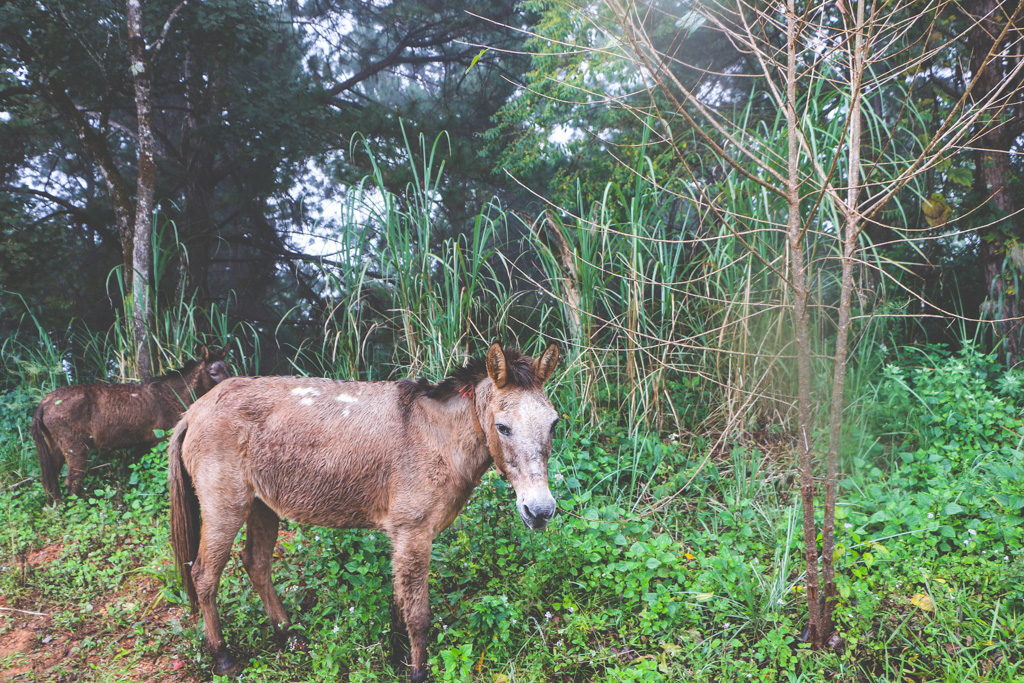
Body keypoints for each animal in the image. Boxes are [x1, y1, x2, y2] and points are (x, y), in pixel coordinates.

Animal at [33, 348, 233, 501]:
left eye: (228, 368)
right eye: (213, 372)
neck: (179, 394)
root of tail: (43, 403)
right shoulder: (162, 437)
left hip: (55, 446)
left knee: (50, 481)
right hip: (75, 447)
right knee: (71, 482)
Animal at [172, 344, 565, 679]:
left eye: (554, 424)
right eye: (503, 427)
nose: (540, 511)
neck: (435, 437)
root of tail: (194, 410)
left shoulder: (402, 537)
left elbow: (399, 604)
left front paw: (396, 659)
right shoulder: (413, 534)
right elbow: (418, 615)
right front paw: (417, 673)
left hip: (262, 506)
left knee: (256, 564)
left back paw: (288, 636)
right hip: (225, 507)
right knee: (204, 575)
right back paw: (224, 658)